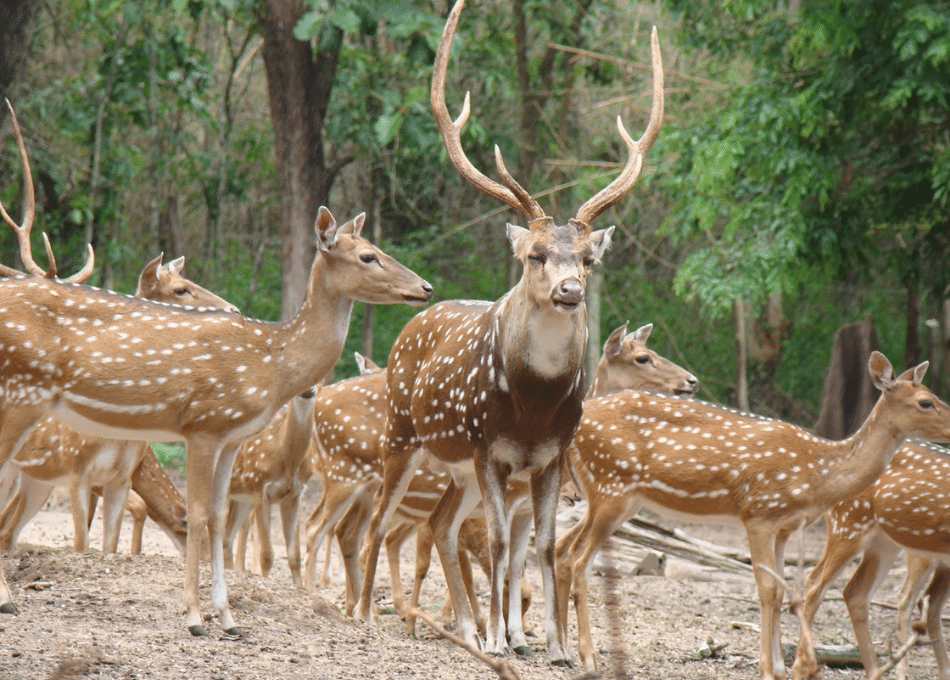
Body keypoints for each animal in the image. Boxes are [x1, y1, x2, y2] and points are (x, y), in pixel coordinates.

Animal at [354, 0, 664, 663]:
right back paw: (363, 613)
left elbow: (541, 547)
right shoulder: (487, 446)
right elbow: (498, 542)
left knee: (438, 523)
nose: (570, 290)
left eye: (588, 259)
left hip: (454, 469)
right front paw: (500, 640)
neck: (531, 406)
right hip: (403, 434)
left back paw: (465, 628)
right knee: (380, 520)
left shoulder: (549, 458)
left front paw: (554, 647)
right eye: (535, 255)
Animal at [790, 439, 950, 680]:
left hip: (883, 543)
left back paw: (875, 670)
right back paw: (800, 668)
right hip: (849, 525)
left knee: (854, 591)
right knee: (816, 587)